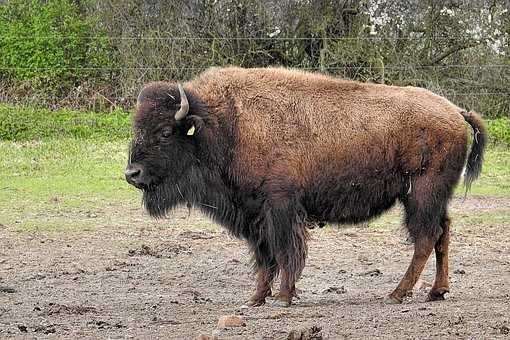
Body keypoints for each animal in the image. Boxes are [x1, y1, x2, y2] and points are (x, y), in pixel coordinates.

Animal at [123, 65, 486, 306]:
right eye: (136, 128)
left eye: (165, 133)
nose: (132, 173)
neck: (225, 125)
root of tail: (456, 111)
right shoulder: (255, 214)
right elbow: (264, 257)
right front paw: (256, 299)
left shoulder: (280, 206)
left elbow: (285, 251)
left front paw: (284, 297)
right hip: (435, 197)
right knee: (443, 233)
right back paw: (437, 291)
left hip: (421, 194)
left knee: (425, 237)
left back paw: (397, 294)